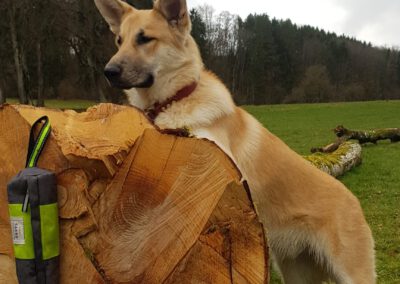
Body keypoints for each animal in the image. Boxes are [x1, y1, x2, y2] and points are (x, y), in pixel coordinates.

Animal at [94, 0, 376, 282]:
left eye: (145, 39)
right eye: (119, 40)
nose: (108, 72)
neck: (173, 100)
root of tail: (354, 202)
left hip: (350, 274)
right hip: (296, 271)